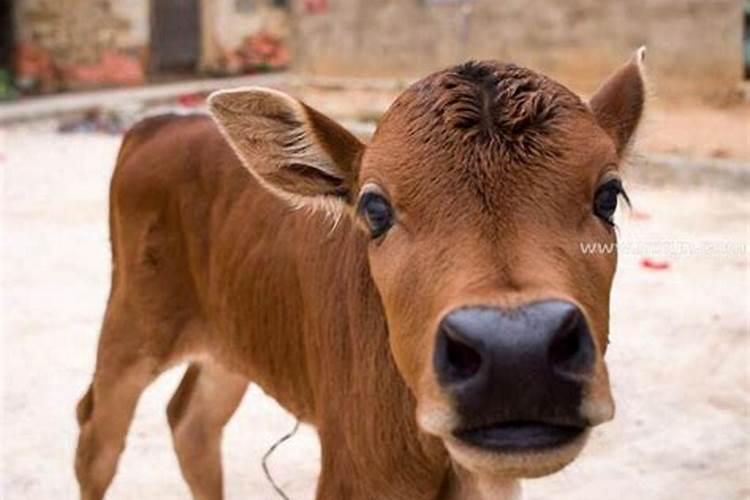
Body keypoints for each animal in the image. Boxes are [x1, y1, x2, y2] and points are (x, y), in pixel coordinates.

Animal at [79, 51, 648, 500]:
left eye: (608, 195)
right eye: (374, 209)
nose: (517, 353)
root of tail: (159, 125)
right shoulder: (351, 475)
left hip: (232, 337)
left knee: (192, 422)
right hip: (133, 320)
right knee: (96, 434)